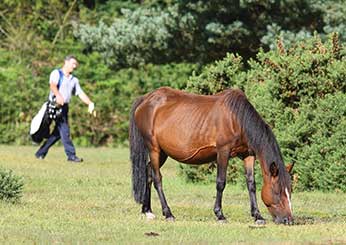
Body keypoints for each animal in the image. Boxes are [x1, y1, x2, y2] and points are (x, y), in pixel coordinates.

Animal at [130, 87, 294, 225]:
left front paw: (257, 216)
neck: (236, 118)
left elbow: (251, 184)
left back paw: (147, 211)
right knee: (157, 179)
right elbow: (221, 182)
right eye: (278, 191)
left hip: (163, 153)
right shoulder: (223, 152)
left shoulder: (248, 154)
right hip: (154, 149)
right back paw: (168, 213)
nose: (289, 220)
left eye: (290, 191)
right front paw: (220, 215)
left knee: (148, 172)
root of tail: (145, 99)